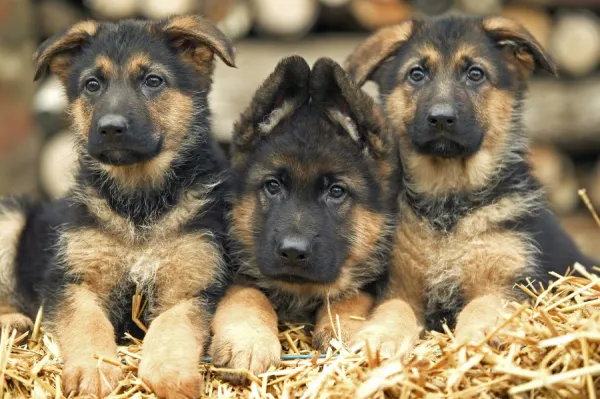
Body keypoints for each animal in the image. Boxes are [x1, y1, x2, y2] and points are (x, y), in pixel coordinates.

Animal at [0, 16, 237, 399]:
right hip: (10, 218)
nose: (110, 128)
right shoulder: (70, 281)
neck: (138, 205)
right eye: (92, 85)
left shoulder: (194, 286)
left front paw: (169, 373)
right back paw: (13, 320)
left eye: (153, 81)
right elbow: (87, 322)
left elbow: (173, 326)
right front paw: (94, 370)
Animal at [210, 54, 398, 382]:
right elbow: (247, 296)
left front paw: (344, 331)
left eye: (336, 191)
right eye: (273, 186)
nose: (292, 252)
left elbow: (348, 297)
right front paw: (248, 342)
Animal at [344, 14, 592, 354]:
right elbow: (395, 308)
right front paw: (381, 337)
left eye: (475, 74)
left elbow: (481, 306)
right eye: (417, 74)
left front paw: (478, 336)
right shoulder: (396, 285)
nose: (441, 118)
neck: (449, 201)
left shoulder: (506, 285)